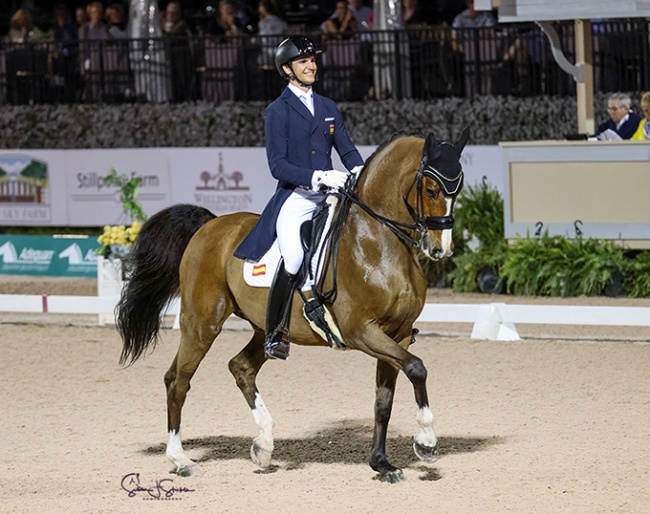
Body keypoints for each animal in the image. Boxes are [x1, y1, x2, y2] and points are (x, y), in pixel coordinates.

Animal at [116, 128, 468, 480]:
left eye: (459, 189)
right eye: (431, 189)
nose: (440, 249)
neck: (376, 243)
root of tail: (210, 225)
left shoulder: (399, 334)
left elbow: (386, 398)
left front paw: (382, 463)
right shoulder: (362, 332)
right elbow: (417, 367)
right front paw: (426, 442)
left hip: (265, 328)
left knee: (241, 367)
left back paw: (263, 445)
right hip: (201, 324)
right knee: (177, 380)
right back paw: (180, 459)